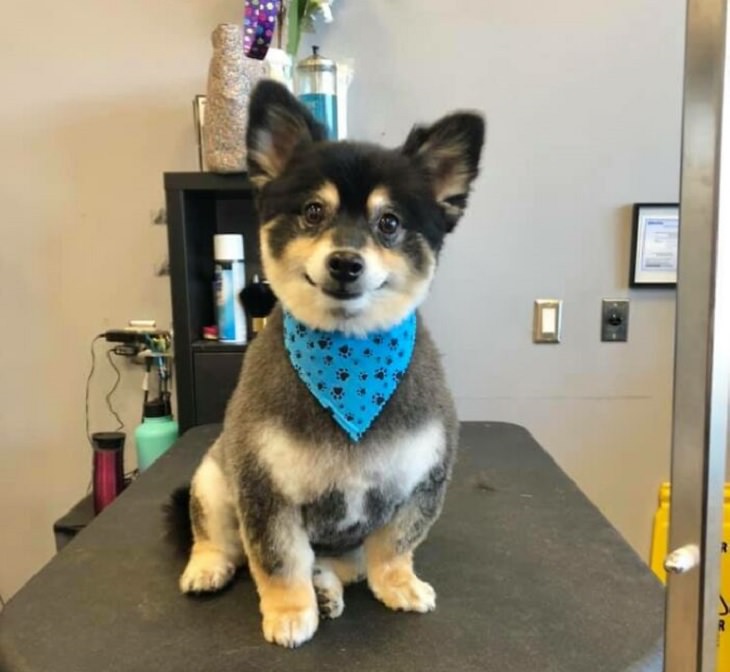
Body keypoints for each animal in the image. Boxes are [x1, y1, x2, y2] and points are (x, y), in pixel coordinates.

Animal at [170, 81, 484, 648]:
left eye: (389, 223)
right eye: (314, 211)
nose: (345, 262)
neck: (348, 362)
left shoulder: (420, 478)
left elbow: (395, 545)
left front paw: (397, 583)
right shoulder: (263, 487)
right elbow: (277, 558)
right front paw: (290, 611)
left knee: (340, 562)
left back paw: (327, 586)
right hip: (213, 476)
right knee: (215, 535)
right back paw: (210, 567)